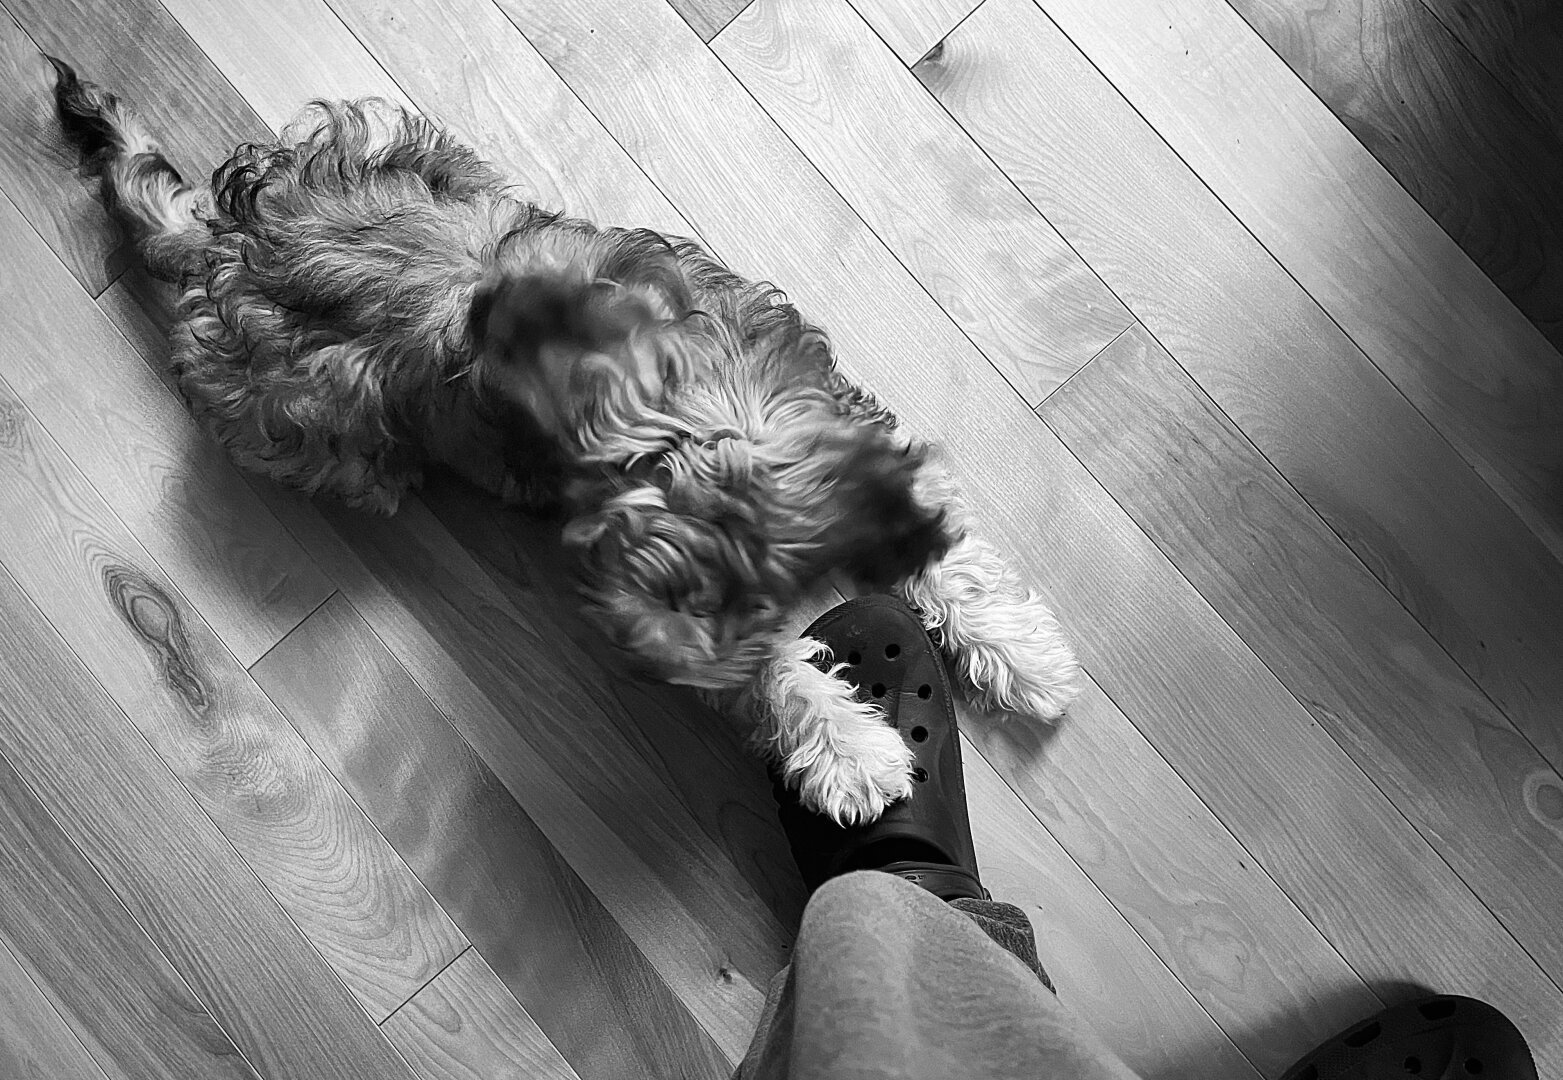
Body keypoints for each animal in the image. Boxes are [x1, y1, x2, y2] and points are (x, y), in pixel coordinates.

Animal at [45, 59, 1075, 825]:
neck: (701, 422)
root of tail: (227, 239)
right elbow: (779, 679)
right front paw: (853, 752)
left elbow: (948, 560)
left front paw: (1021, 656)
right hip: (324, 428)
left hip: (421, 153)